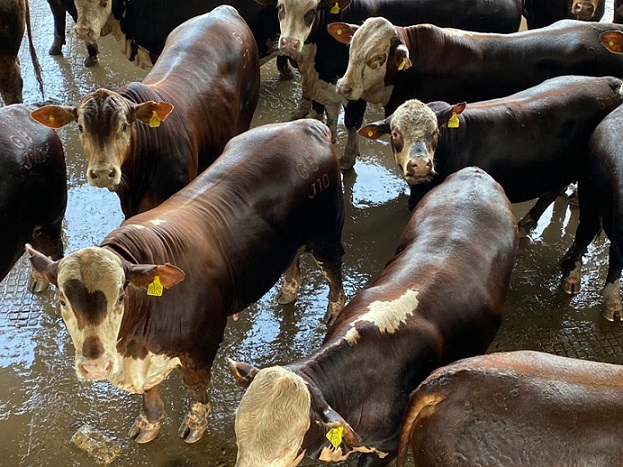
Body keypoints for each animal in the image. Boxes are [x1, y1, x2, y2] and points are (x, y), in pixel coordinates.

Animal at [26, 118, 348, 446]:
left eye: (121, 296)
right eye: (62, 300)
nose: (94, 365)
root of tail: (306, 124)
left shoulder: (202, 343)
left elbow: (195, 387)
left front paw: (195, 425)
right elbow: (150, 392)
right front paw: (148, 423)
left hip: (326, 232)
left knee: (333, 269)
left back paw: (335, 310)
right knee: (292, 258)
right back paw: (288, 290)